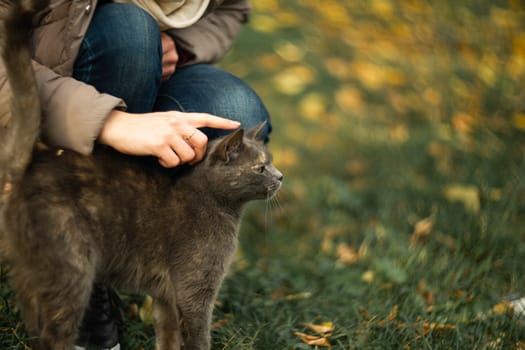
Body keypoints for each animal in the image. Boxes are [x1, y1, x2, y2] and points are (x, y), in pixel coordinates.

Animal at [0, 1, 282, 348]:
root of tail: (25, 170)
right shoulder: (195, 291)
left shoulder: (166, 296)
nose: (280, 176)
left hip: (34, 275)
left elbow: (168, 335)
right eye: (260, 167)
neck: (221, 209)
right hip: (72, 266)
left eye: (271, 162)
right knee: (56, 333)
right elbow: (199, 337)